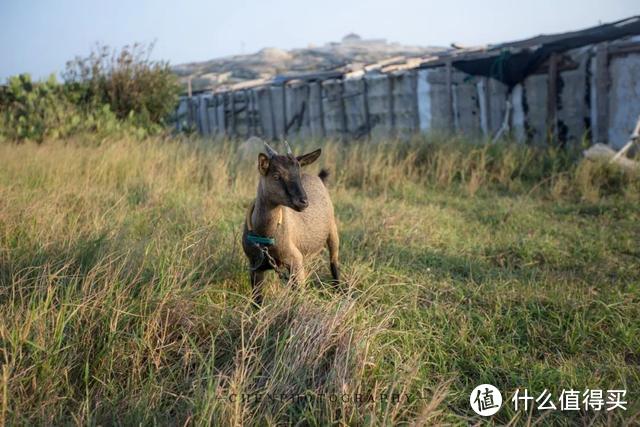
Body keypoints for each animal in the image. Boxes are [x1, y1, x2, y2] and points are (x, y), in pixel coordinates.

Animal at [240, 140, 340, 304]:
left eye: (298, 174)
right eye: (276, 176)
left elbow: (298, 296)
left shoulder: (295, 261)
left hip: (333, 231)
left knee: (334, 262)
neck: (266, 235)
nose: (303, 202)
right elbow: (257, 301)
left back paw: (340, 291)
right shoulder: (255, 266)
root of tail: (319, 178)